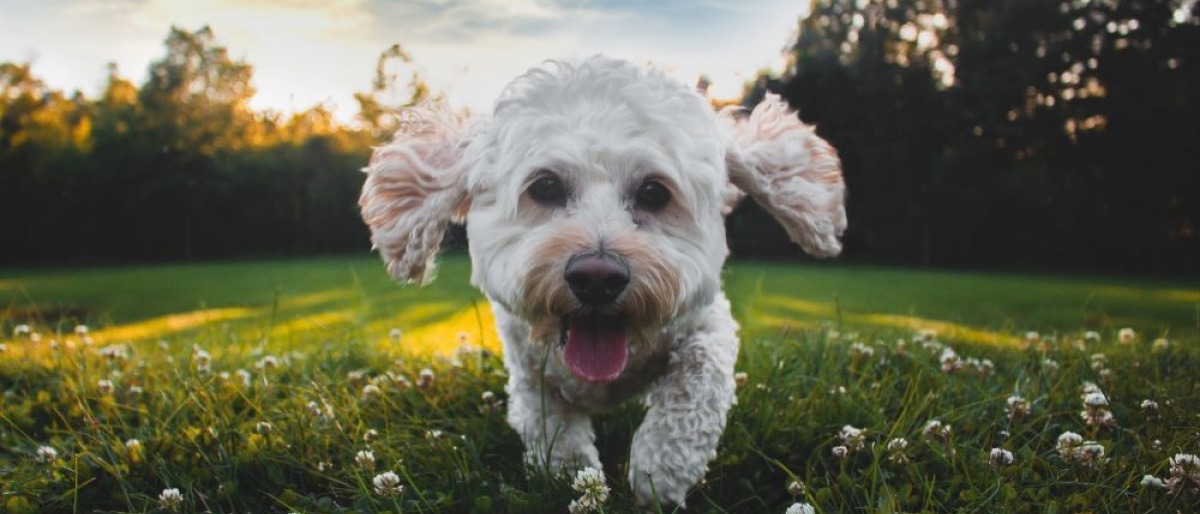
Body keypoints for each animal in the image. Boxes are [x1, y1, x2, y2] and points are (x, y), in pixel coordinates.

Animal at [355, 55, 844, 506]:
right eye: (545, 186)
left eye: (654, 192)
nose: (597, 277)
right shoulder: (529, 370)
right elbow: (552, 428)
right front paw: (573, 477)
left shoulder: (707, 324)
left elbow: (695, 385)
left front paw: (658, 471)